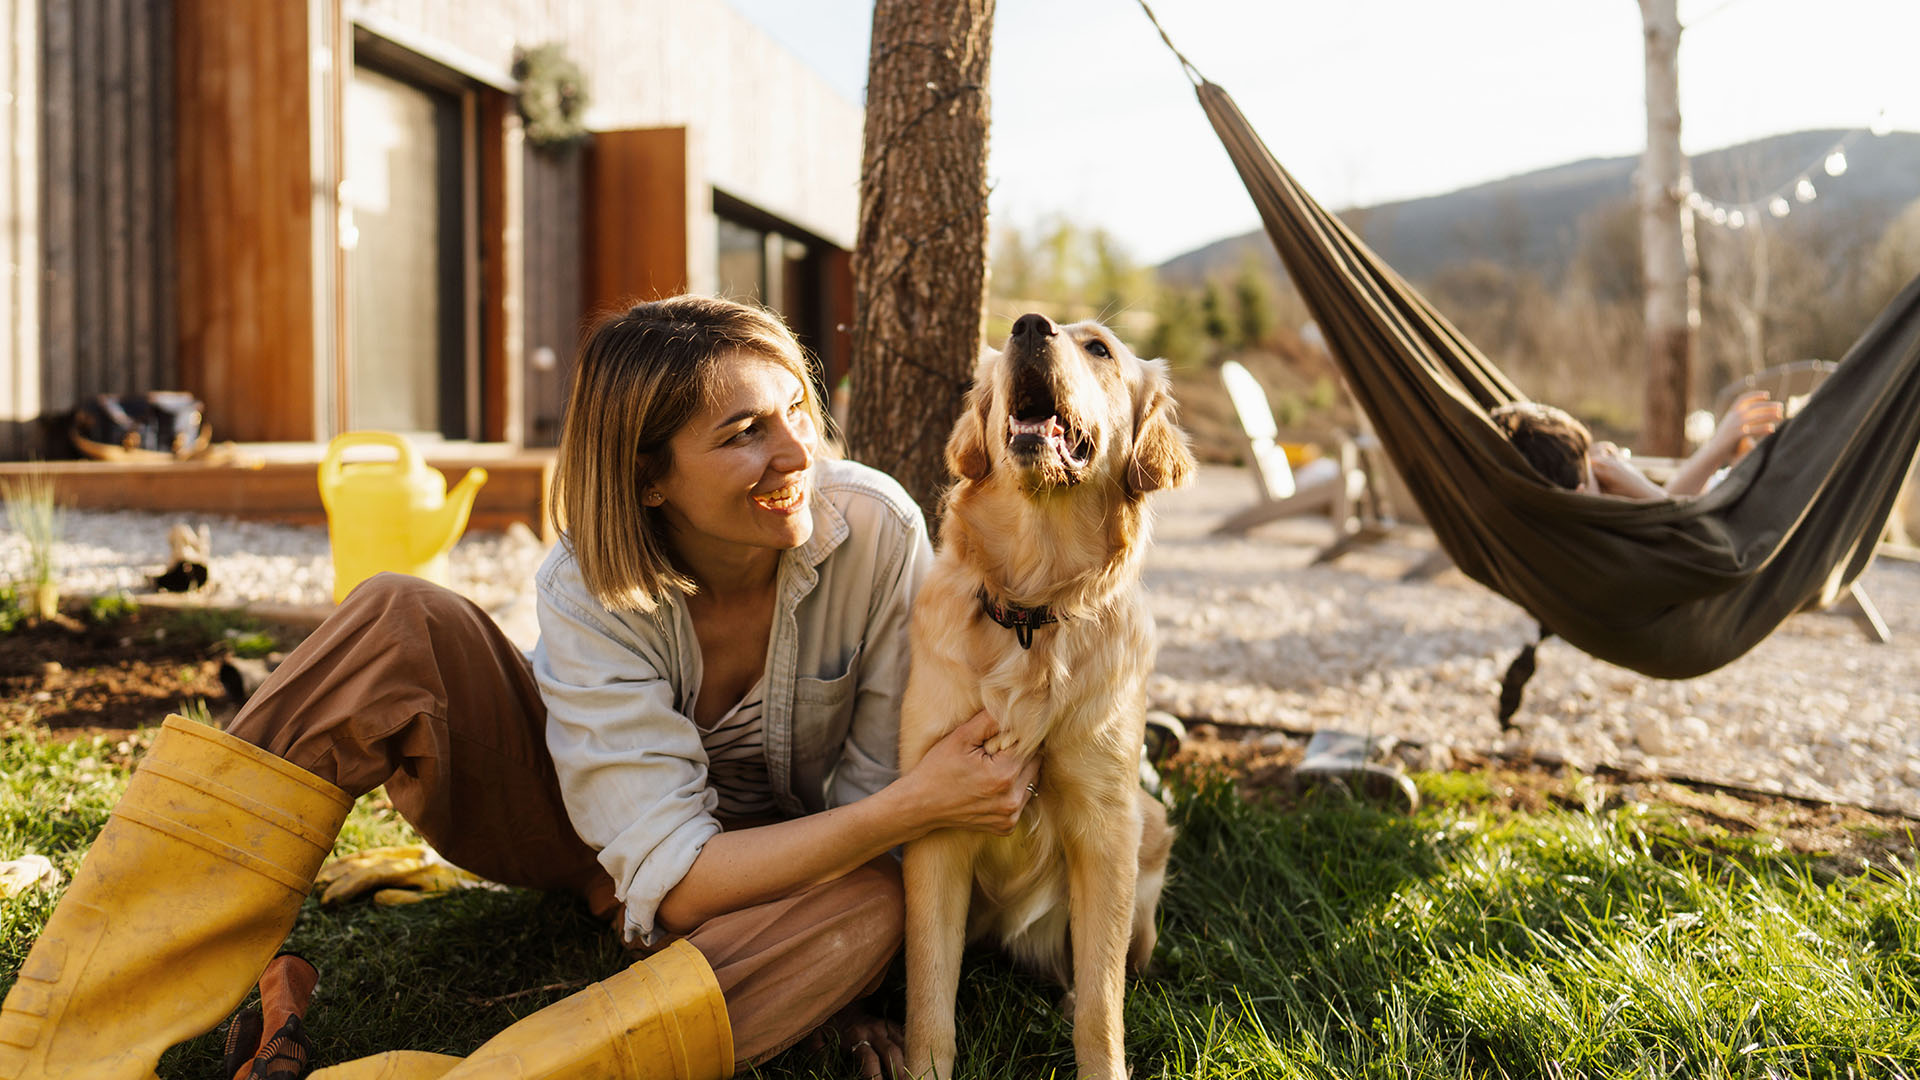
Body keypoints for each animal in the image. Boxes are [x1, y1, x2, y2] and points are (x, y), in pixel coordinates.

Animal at [894, 307, 1190, 1068]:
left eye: (1100, 349)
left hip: (1149, 827)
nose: (1029, 325)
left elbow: (1103, 1006)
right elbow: (929, 994)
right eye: (1007, 343)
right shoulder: (935, 821)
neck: (1033, 608)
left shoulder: (1107, 823)